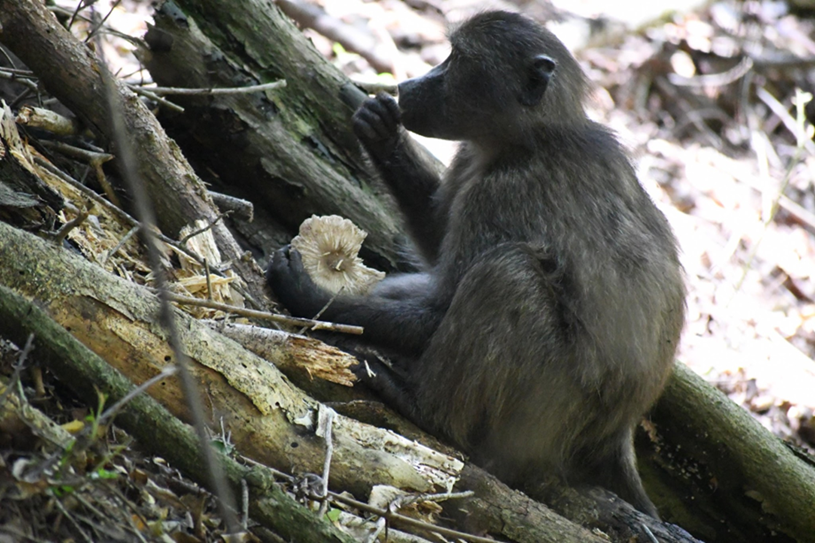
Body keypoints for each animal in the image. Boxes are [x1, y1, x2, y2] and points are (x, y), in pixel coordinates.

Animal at [267, 10, 685, 518]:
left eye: (456, 59)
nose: (408, 85)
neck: (529, 139)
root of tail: (619, 430)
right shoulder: (471, 155)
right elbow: (434, 234)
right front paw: (381, 130)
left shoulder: (502, 193)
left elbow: (441, 308)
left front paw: (306, 294)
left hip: (546, 417)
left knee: (506, 275)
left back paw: (424, 409)